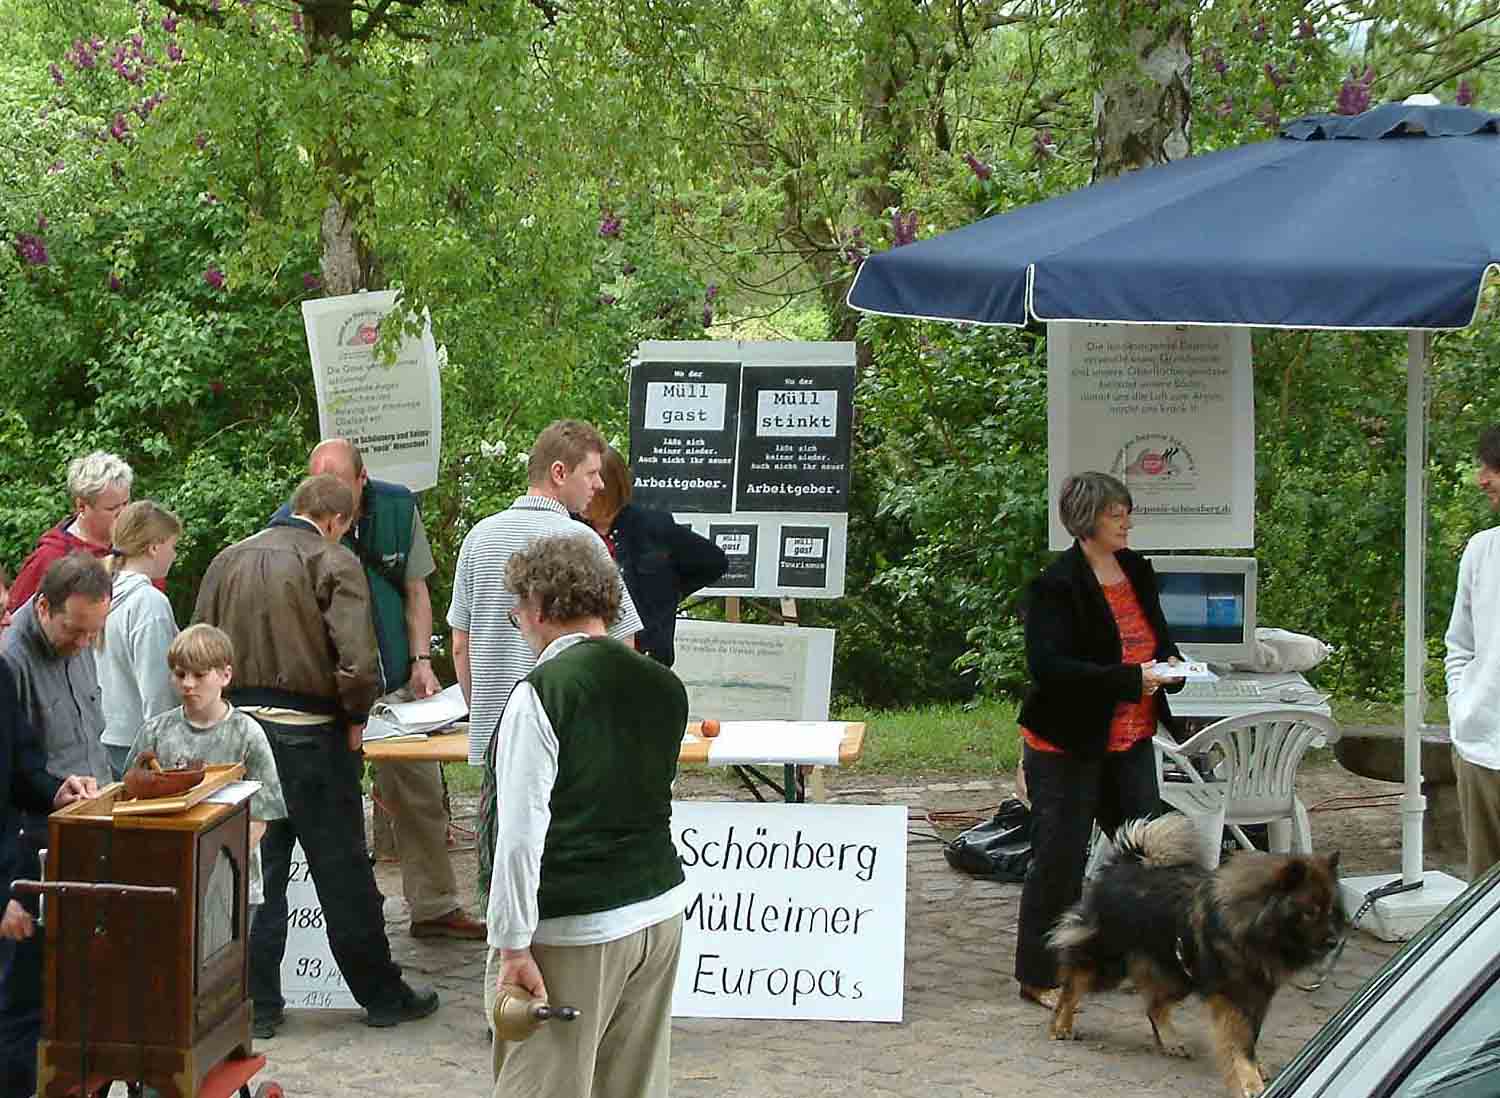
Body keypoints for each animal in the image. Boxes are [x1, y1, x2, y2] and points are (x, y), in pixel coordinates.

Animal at [1044, 816, 1350, 1098]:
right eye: (1310, 912)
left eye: (1329, 909)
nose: (1333, 942)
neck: (1250, 924)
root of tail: (1125, 865)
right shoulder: (1233, 998)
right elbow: (1241, 1044)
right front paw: (1250, 1082)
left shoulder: (1257, 997)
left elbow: (1250, 1038)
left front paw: (1256, 1069)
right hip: (1110, 962)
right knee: (1074, 982)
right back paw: (1061, 1024)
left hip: (1179, 976)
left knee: (1154, 1006)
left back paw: (1170, 1041)